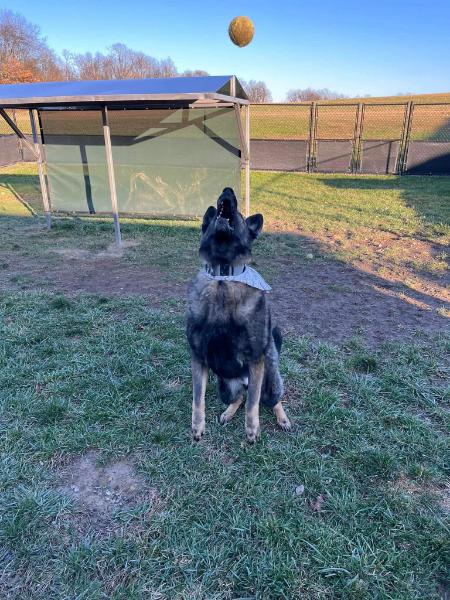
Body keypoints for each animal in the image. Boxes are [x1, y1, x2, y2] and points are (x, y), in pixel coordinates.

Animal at [186, 185, 292, 442]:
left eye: (242, 216)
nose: (227, 190)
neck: (224, 276)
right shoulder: (198, 358)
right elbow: (197, 397)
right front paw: (197, 425)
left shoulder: (255, 360)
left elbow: (254, 403)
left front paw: (252, 428)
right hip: (225, 386)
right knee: (240, 397)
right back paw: (228, 411)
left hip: (270, 381)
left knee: (270, 399)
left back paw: (282, 418)